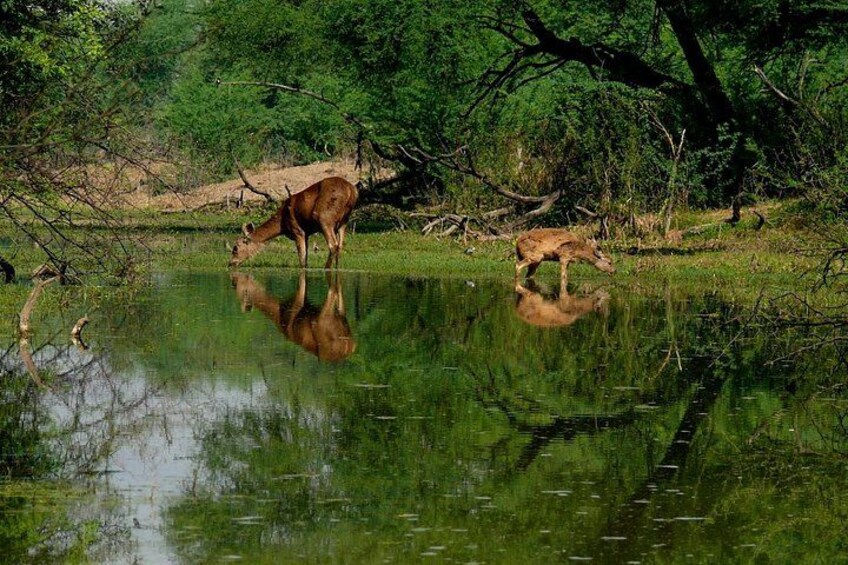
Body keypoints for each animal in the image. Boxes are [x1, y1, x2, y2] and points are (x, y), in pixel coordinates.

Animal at [229, 176, 358, 269]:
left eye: (235, 248)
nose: (231, 263)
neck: (281, 225)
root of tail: (351, 190)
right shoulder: (306, 233)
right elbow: (306, 257)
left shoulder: (297, 230)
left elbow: (302, 257)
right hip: (343, 221)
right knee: (340, 246)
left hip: (324, 217)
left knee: (333, 245)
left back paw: (326, 268)